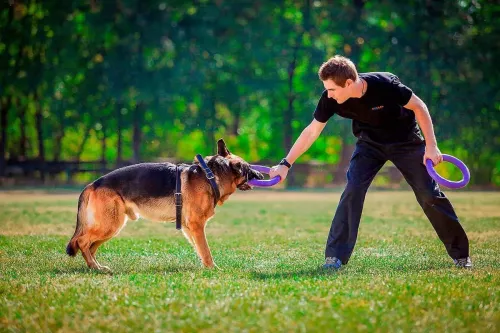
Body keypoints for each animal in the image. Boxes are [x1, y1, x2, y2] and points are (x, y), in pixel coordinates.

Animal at [65, 139, 266, 272]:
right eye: (248, 168)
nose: (262, 175)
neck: (211, 177)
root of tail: (93, 184)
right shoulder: (196, 225)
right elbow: (206, 250)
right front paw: (213, 269)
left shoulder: (190, 228)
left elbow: (200, 249)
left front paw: (206, 267)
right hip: (110, 225)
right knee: (82, 241)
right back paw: (95, 266)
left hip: (111, 227)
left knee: (90, 246)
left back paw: (96, 267)